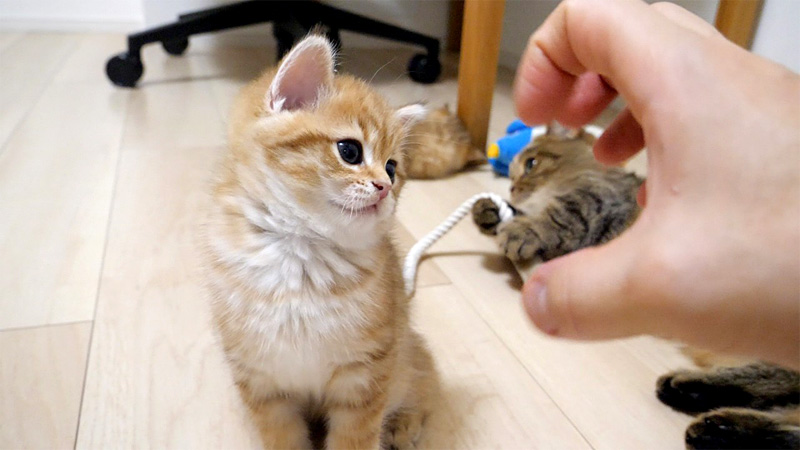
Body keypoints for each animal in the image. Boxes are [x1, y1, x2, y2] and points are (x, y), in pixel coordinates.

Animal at [200, 36, 438, 450]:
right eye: (350, 151)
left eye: (393, 167)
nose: (385, 187)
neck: (302, 254)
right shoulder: (261, 381)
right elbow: (282, 437)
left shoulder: (366, 376)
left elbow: (354, 439)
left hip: (408, 353)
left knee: (423, 385)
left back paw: (403, 425)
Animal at [472, 123, 640, 264]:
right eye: (511, 177)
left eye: (531, 163)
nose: (511, 188)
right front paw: (491, 208)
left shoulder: (600, 198)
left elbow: (560, 216)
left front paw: (520, 231)